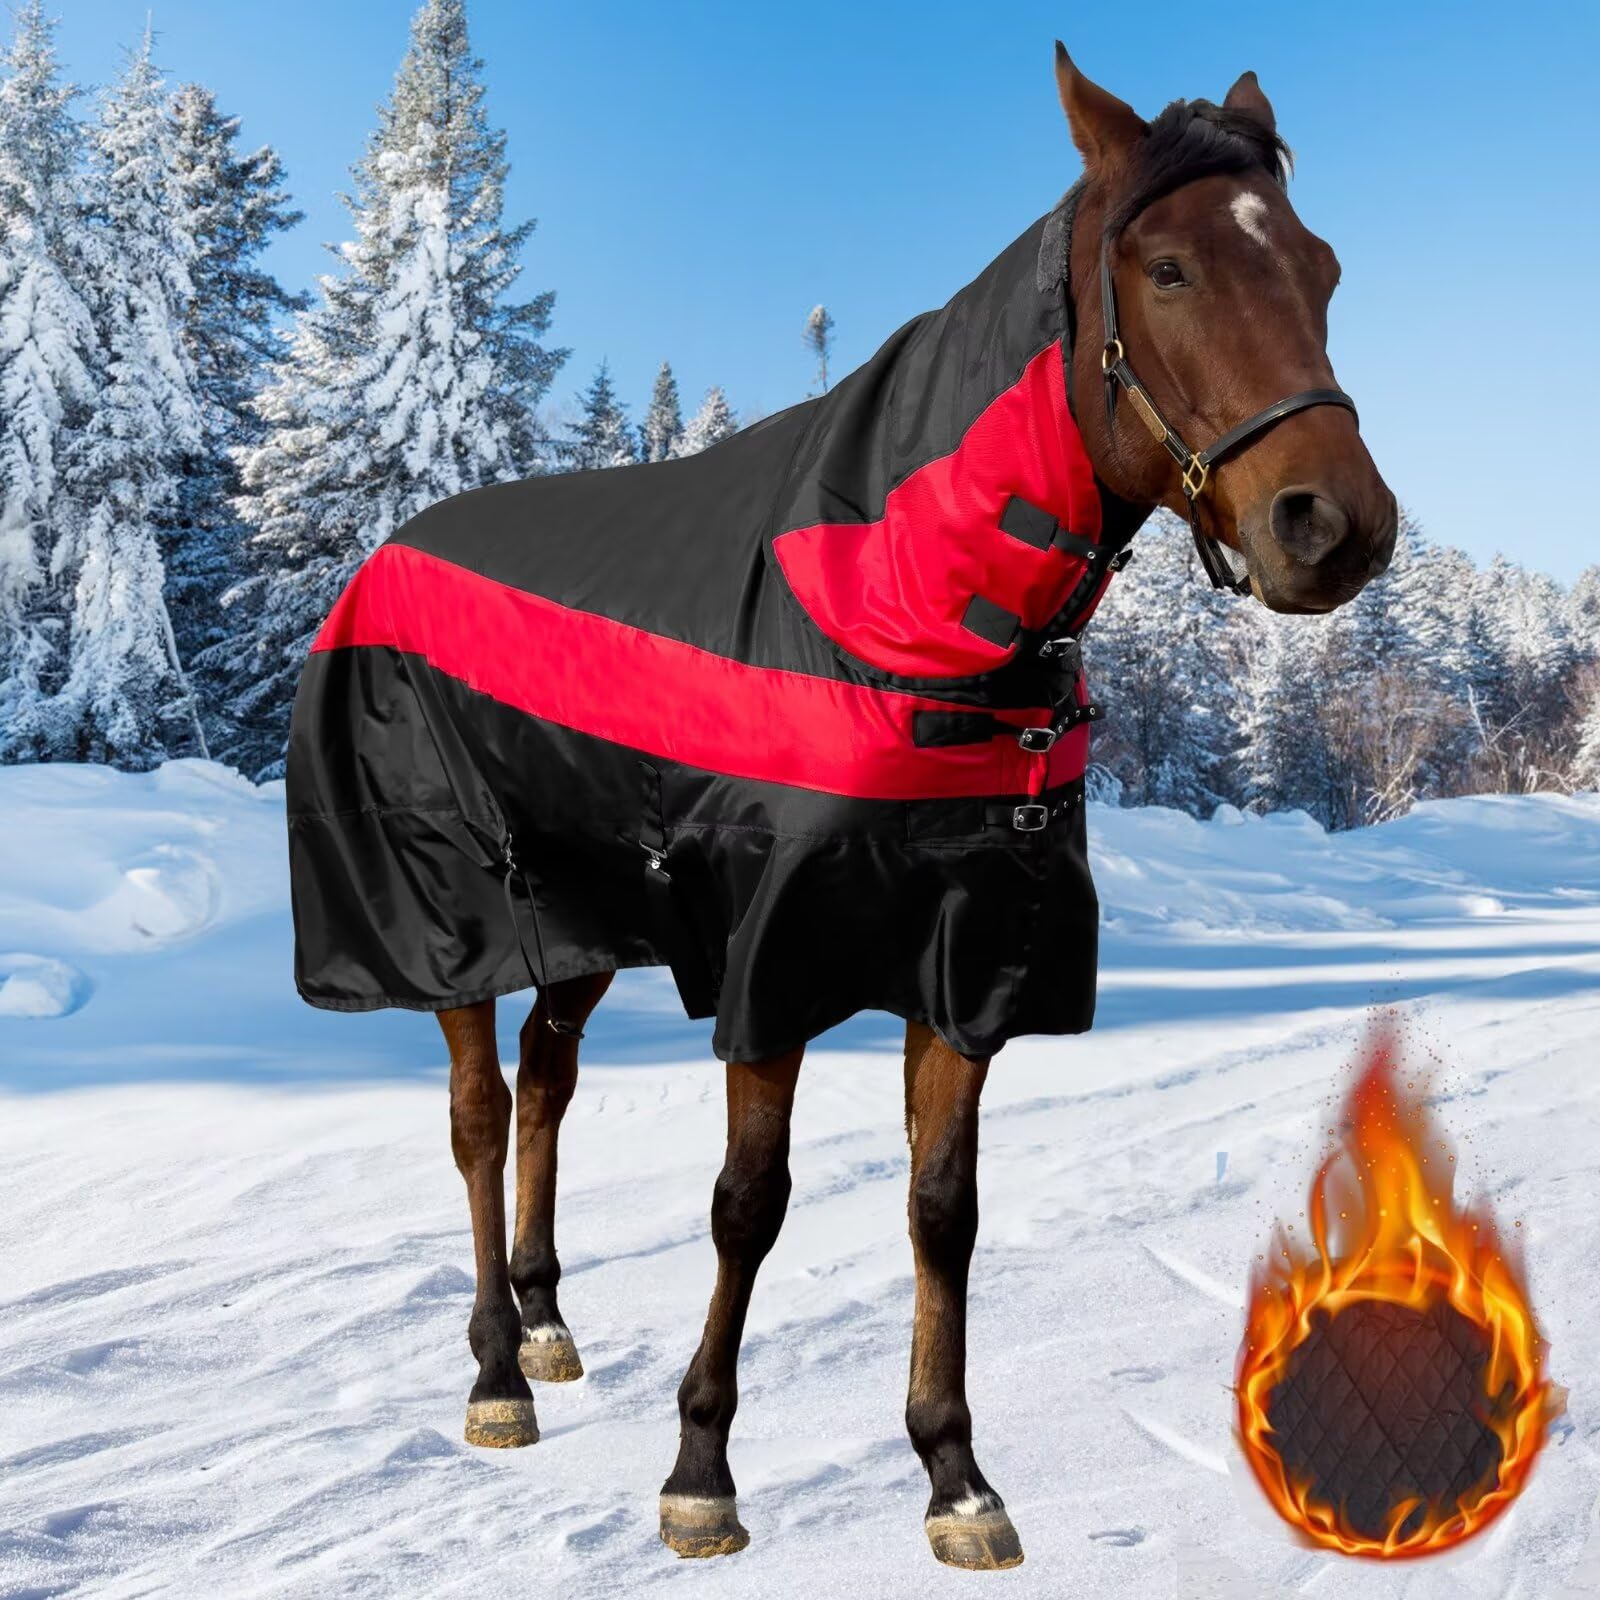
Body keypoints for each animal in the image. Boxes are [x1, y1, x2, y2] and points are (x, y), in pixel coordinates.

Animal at [286, 41, 1397, 1570]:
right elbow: (748, 1206)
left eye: (1325, 268)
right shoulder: (776, 961)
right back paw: (498, 1372)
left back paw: (550, 1320)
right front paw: (700, 1471)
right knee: (474, 1110)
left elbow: (943, 1212)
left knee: (546, 1086)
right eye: (1167, 268)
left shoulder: (968, 962)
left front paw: (956, 1475)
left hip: (579, 921)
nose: (1333, 527)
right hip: (452, 908)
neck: (903, 600)